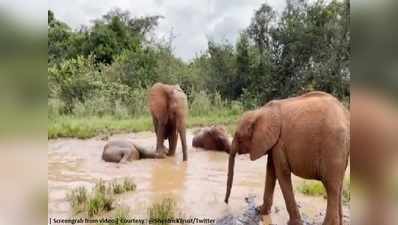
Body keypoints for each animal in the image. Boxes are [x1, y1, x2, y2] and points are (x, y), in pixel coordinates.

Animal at [225, 91, 350, 225]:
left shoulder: (280, 143)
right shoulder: (274, 143)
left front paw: (293, 223)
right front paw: (260, 212)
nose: (226, 202)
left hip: (333, 146)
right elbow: (271, 171)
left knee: (331, 186)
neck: (260, 112)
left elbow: (282, 173)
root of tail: (345, 116)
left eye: (238, 136)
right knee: (338, 186)